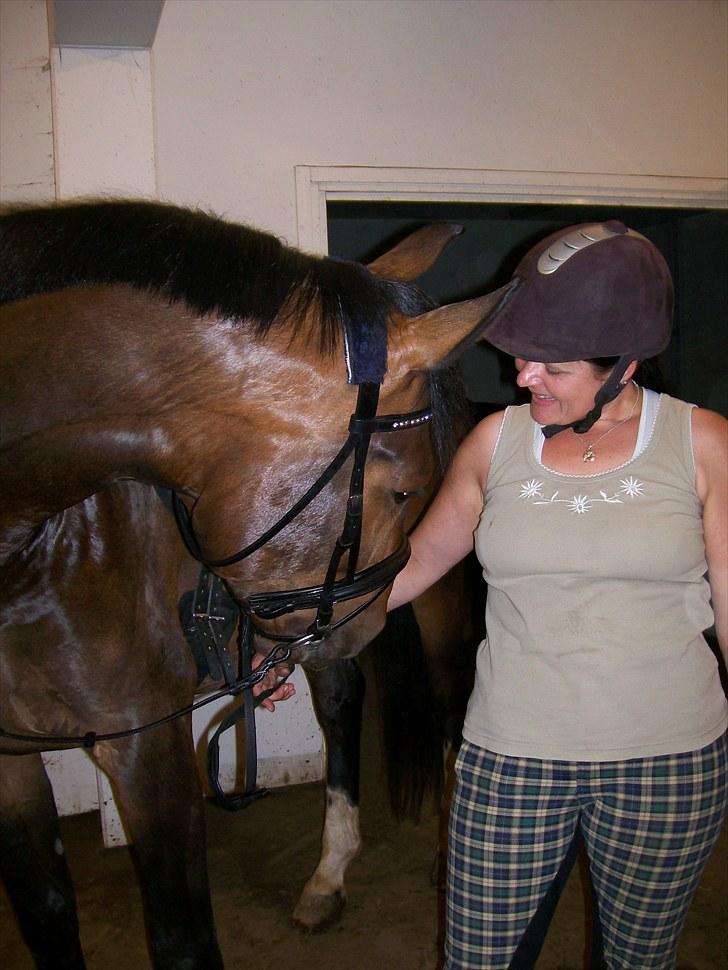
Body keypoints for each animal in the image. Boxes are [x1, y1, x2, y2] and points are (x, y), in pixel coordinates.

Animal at [0, 200, 512, 964]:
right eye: (403, 489)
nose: (370, 616)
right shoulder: (12, 762)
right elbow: (48, 914)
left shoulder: (146, 748)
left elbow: (182, 937)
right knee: (342, 700)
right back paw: (329, 874)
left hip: (437, 614)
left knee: (449, 703)